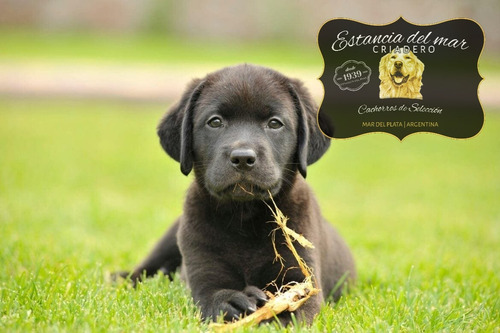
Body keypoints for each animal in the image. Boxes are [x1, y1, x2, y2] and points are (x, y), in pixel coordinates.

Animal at [120, 63, 356, 322]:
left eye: (275, 123)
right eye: (215, 122)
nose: (243, 158)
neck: (245, 216)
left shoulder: (301, 275)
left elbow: (296, 305)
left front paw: (278, 318)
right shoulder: (204, 270)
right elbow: (212, 293)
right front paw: (230, 301)